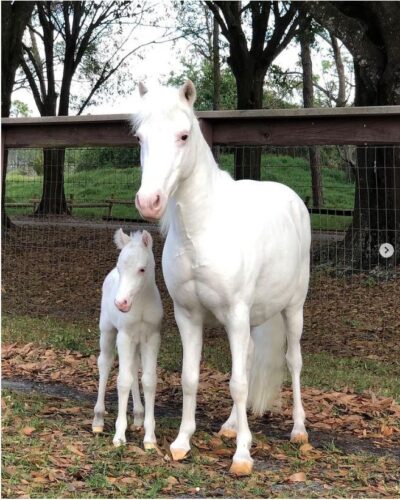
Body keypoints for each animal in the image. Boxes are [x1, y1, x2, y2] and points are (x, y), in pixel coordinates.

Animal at [92, 229, 162, 450]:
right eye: (120, 267)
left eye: (142, 269)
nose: (121, 303)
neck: (140, 304)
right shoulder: (124, 336)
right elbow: (122, 380)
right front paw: (119, 436)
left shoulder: (151, 338)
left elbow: (148, 380)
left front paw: (149, 438)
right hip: (107, 331)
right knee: (105, 364)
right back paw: (98, 419)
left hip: (136, 343)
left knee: (133, 368)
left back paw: (138, 416)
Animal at [133, 80, 310, 474]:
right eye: (139, 137)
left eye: (183, 135)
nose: (149, 201)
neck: (203, 229)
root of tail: (293, 200)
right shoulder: (188, 316)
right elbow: (190, 378)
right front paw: (182, 443)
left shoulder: (235, 315)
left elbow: (239, 384)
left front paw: (243, 456)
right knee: (249, 359)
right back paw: (230, 426)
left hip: (292, 309)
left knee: (293, 362)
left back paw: (298, 430)